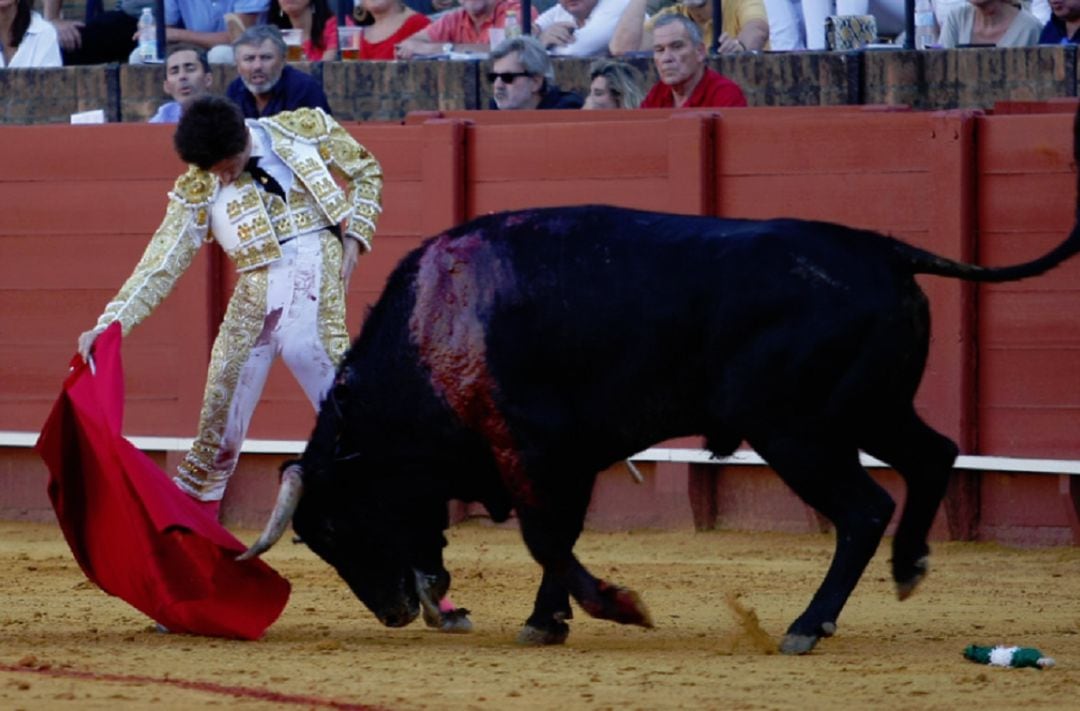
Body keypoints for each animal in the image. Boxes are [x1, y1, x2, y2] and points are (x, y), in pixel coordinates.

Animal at [245, 197, 1080, 648]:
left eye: (334, 524)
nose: (392, 612)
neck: (431, 332)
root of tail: (882, 249)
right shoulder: (568, 458)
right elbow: (557, 540)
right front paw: (547, 620)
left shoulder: (535, 449)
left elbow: (547, 537)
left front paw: (620, 606)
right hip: (871, 410)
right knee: (936, 453)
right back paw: (908, 567)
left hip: (799, 432)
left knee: (865, 508)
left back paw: (808, 624)